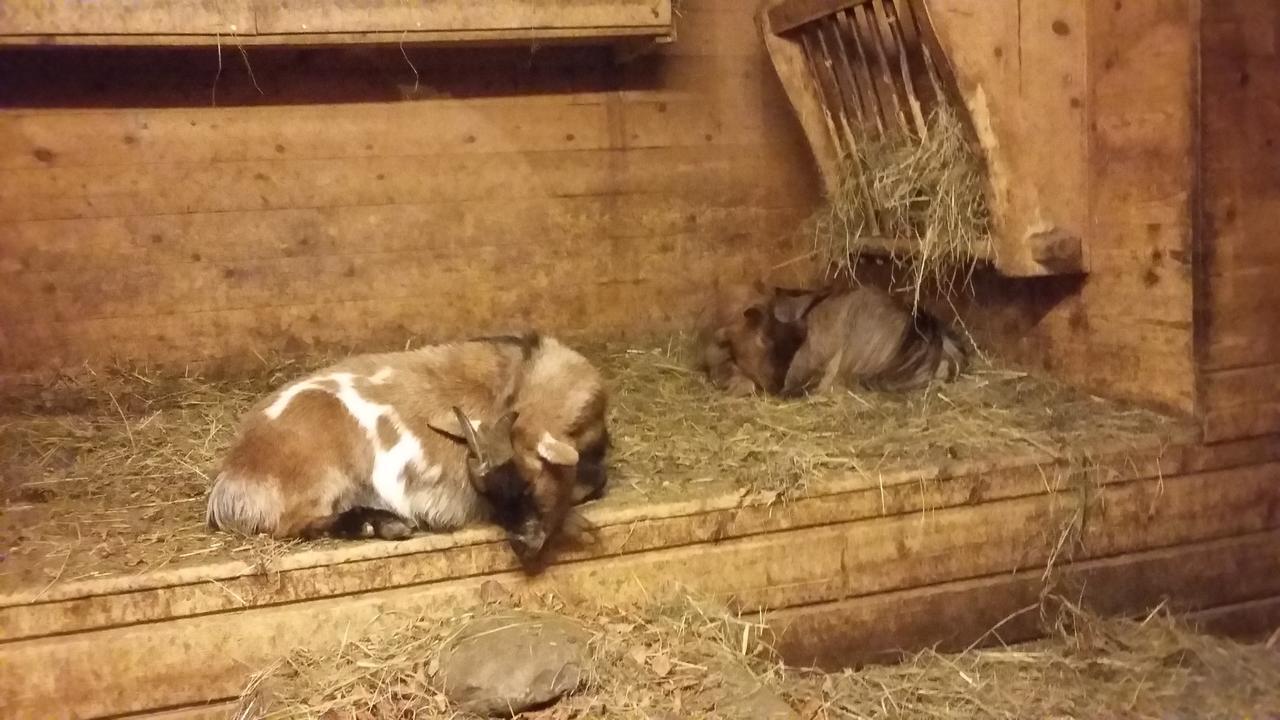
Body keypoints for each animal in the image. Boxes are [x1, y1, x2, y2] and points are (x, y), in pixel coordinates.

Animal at [206, 330, 609, 561]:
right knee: (293, 523)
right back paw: (383, 524)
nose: (523, 547)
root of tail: (234, 474)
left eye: (527, 485)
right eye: (493, 493)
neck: (521, 374)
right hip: (318, 479)